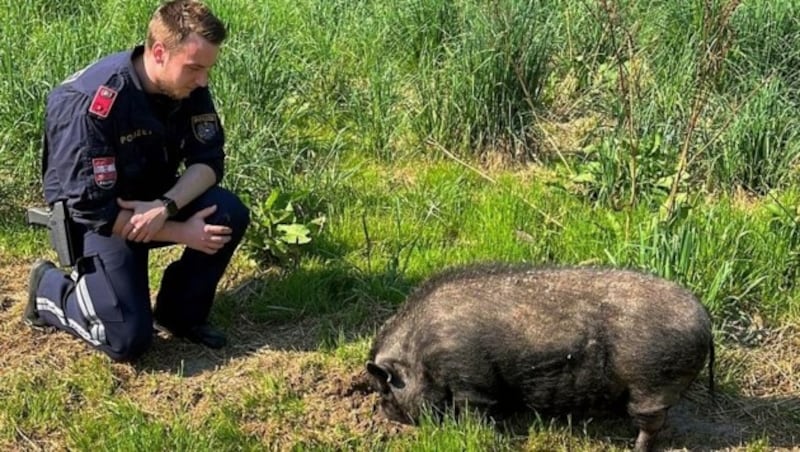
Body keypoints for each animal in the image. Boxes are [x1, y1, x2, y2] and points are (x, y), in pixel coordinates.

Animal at [368, 264, 712, 450]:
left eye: (385, 386)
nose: (384, 412)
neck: (422, 351)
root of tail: (705, 320)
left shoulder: (470, 379)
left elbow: (473, 410)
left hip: (653, 384)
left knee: (650, 423)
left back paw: (634, 448)